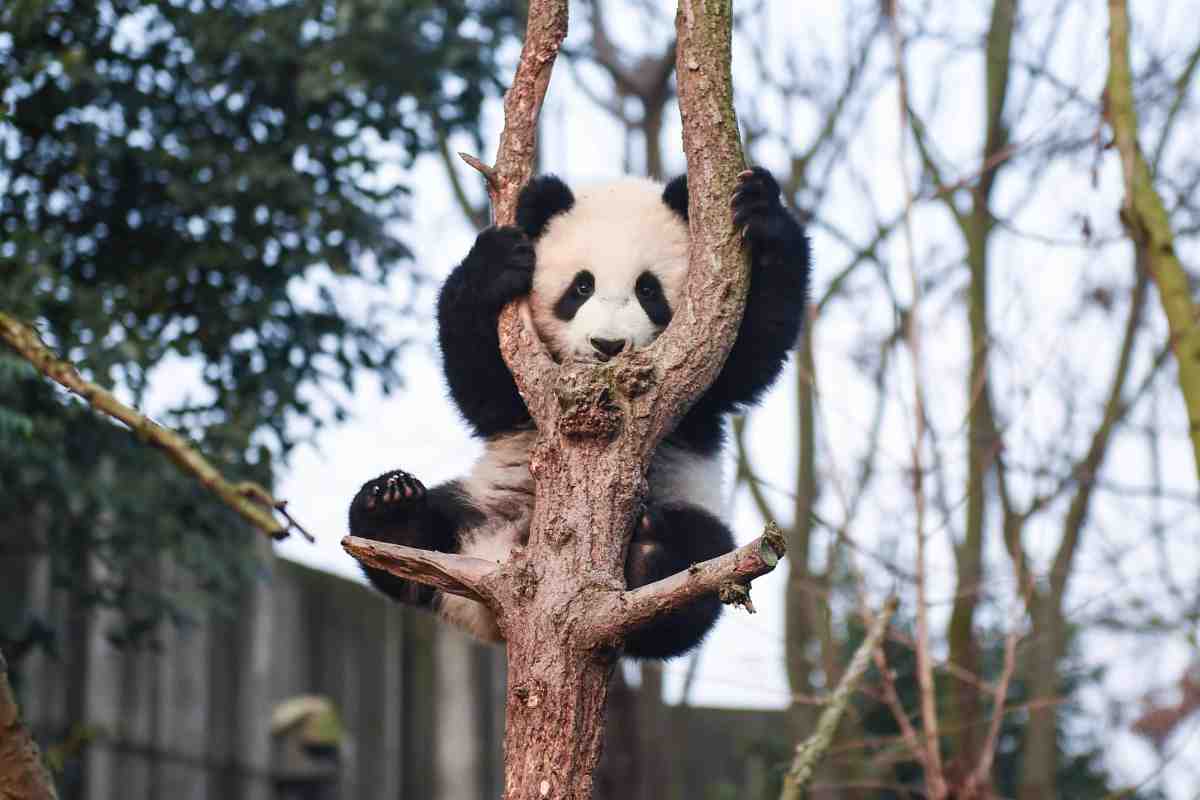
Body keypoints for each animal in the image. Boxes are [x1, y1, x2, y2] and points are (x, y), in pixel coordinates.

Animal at [350, 164, 811, 657]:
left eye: (648, 289)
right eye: (581, 286)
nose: (607, 345)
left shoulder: (701, 386)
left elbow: (751, 354)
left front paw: (761, 210)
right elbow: (482, 388)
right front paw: (495, 264)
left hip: (692, 510)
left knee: (696, 566)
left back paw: (653, 557)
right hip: (479, 504)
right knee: (410, 537)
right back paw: (393, 507)